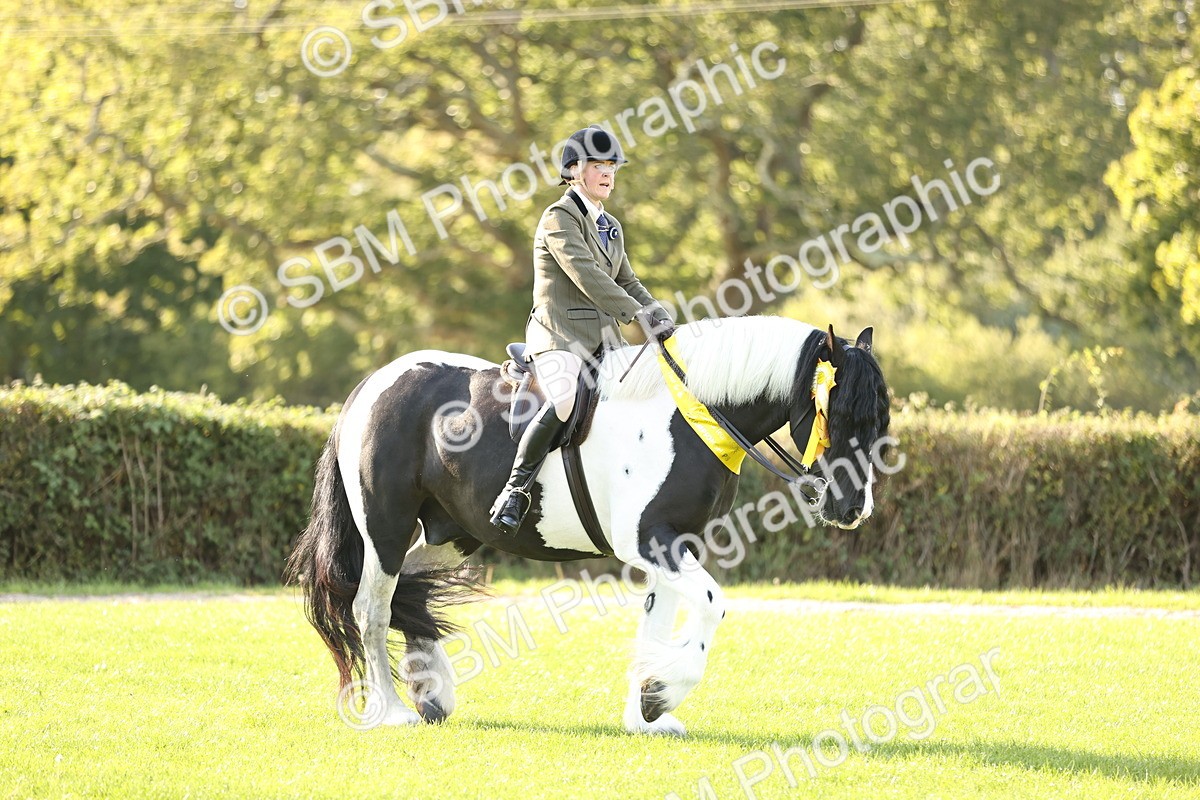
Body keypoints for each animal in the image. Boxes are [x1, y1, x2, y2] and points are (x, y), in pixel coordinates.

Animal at [286, 315, 890, 736]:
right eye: (836, 414)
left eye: (879, 419)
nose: (851, 507)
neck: (689, 415)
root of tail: (371, 386)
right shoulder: (652, 542)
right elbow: (711, 603)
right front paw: (661, 694)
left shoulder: (673, 546)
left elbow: (655, 623)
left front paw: (646, 711)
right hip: (385, 528)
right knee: (371, 606)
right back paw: (392, 711)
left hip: (452, 532)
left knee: (409, 591)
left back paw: (431, 691)